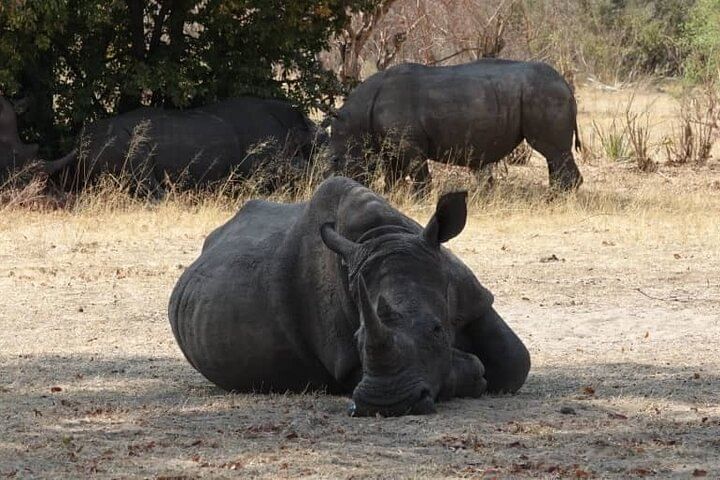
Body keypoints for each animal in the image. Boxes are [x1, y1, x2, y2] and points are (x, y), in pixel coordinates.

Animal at [168, 176, 530, 416]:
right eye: (357, 340)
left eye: (438, 330)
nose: (386, 404)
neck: (383, 237)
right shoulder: (343, 358)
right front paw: (473, 372)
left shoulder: (471, 296)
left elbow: (516, 360)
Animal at [328, 59, 583, 190]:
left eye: (336, 160)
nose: (334, 183)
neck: (357, 118)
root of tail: (566, 86)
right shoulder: (391, 146)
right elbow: (393, 176)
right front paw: (393, 198)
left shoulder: (408, 145)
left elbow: (418, 175)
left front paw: (421, 201)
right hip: (543, 93)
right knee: (554, 157)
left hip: (545, 94)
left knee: (553, 151)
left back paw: (554, 201)